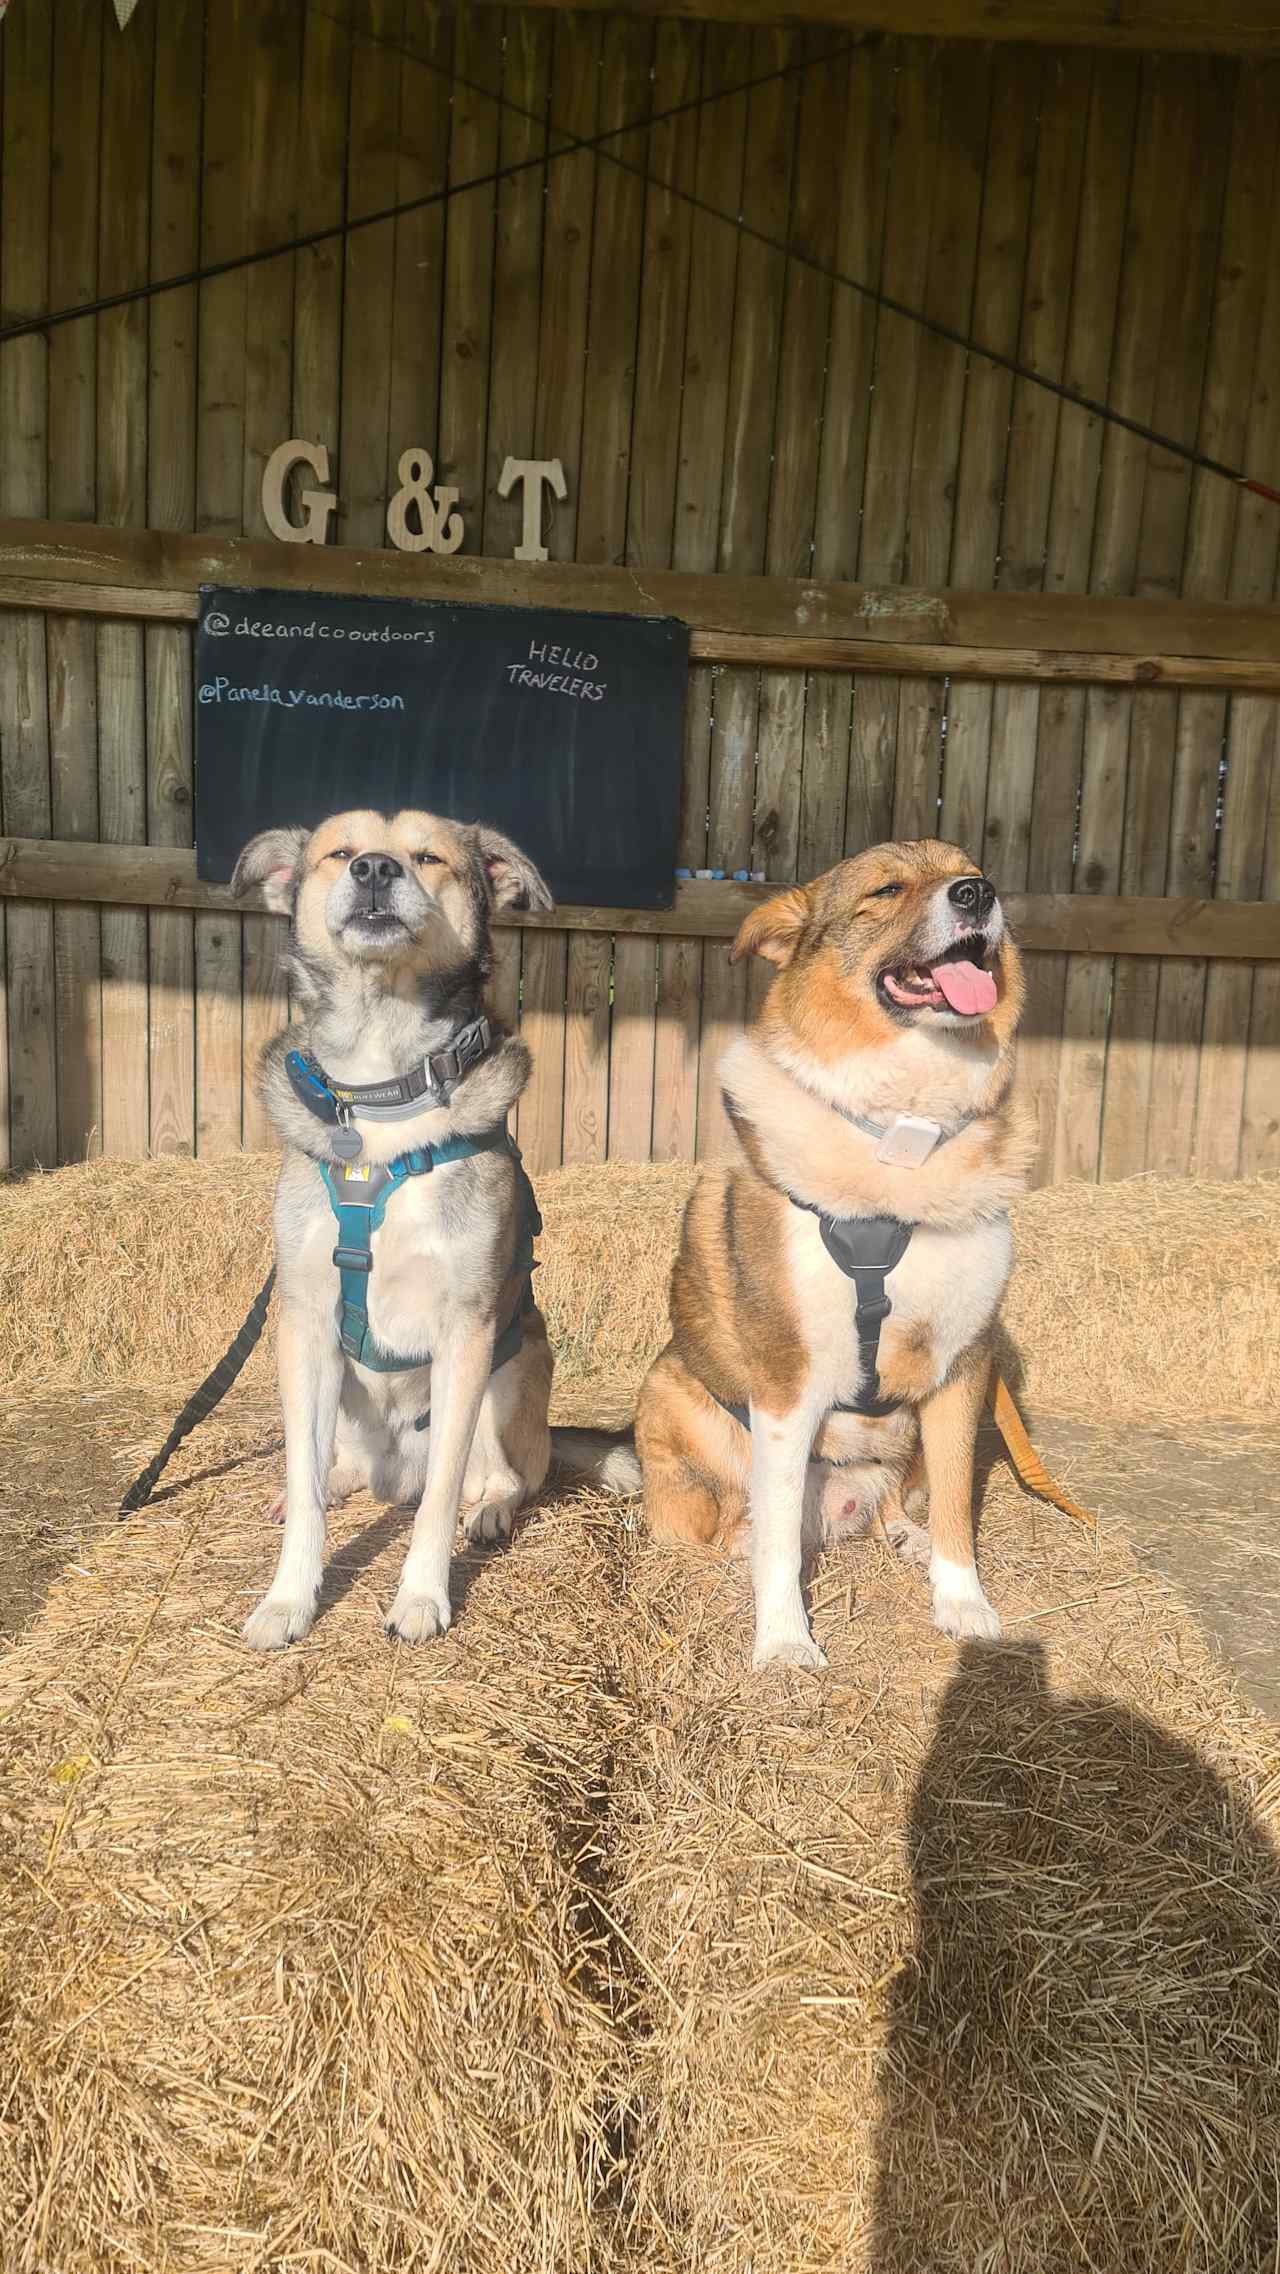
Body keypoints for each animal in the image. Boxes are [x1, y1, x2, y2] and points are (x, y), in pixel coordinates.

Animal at [231, 814, 641, 1655]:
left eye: (429, 857)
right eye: (339, 851)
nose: (374, 870)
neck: (383, 1090)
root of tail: (394, 1470)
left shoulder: (468, 1330)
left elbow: (440, 1501)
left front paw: (421, 1596)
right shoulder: (305, 1324)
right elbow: (303, 1483)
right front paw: (288, 1598)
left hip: (512, 1375)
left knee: (508, 1477)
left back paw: (489, 1514)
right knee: (329, 1469)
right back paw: (331, 1486)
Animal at [636, 836, 1036, 1673]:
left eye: (972, 868)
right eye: (885, 890)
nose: (977, 893)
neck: (906, 1133)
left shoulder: (963, 1365)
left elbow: (957, 1501)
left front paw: (963, 1604)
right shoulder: (788, 1384)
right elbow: (782, 1539)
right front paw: (785, 1642)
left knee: (902, 1498)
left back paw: (902, 1530)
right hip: (671, 1389)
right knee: (721, 1524)